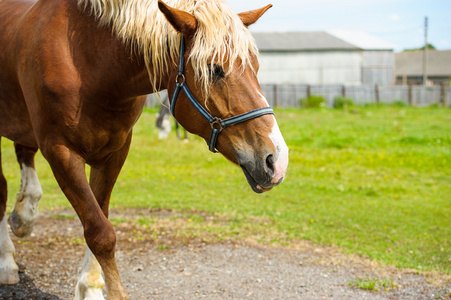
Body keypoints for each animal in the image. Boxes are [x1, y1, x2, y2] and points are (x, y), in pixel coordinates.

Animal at [0, 0, 290, 298]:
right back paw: (7, 260)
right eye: (214, 69)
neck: (87, 59)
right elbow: (99, 231)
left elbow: (99, 219)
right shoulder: (61, 152)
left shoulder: (113, 154)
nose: (277, 160)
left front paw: (91, 285)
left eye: (255, 66)